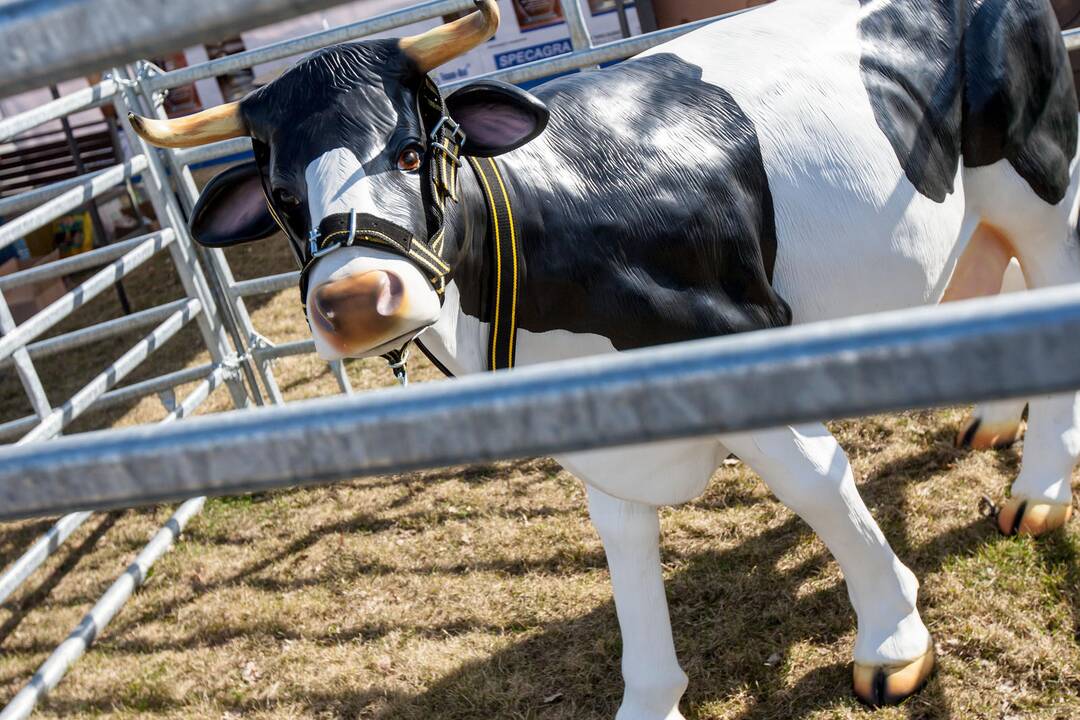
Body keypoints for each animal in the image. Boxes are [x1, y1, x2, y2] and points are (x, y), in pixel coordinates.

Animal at [132, 0, 1080, 708]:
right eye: (283, 197)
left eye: (411, 149)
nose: (355, 297)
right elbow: (621, 542)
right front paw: (651, 695)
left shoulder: (739, 337)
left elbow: (820, 485)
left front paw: (893, 641)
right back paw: (994, 422)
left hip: (1038, 173)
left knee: (1049, 277)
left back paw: (1037, 491)